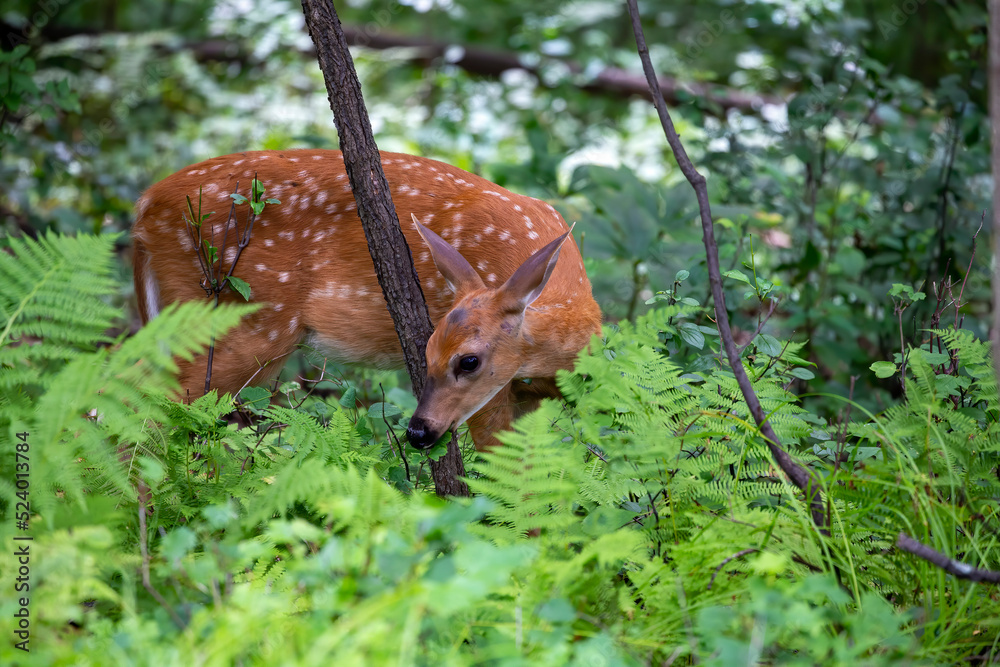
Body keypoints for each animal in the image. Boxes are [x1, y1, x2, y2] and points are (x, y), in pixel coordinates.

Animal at [131, 149, 602, 451]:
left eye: (467, 360)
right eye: (426, 350)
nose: (418, 434)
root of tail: (143, 207)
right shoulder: (494, 398)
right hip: (243, 325)